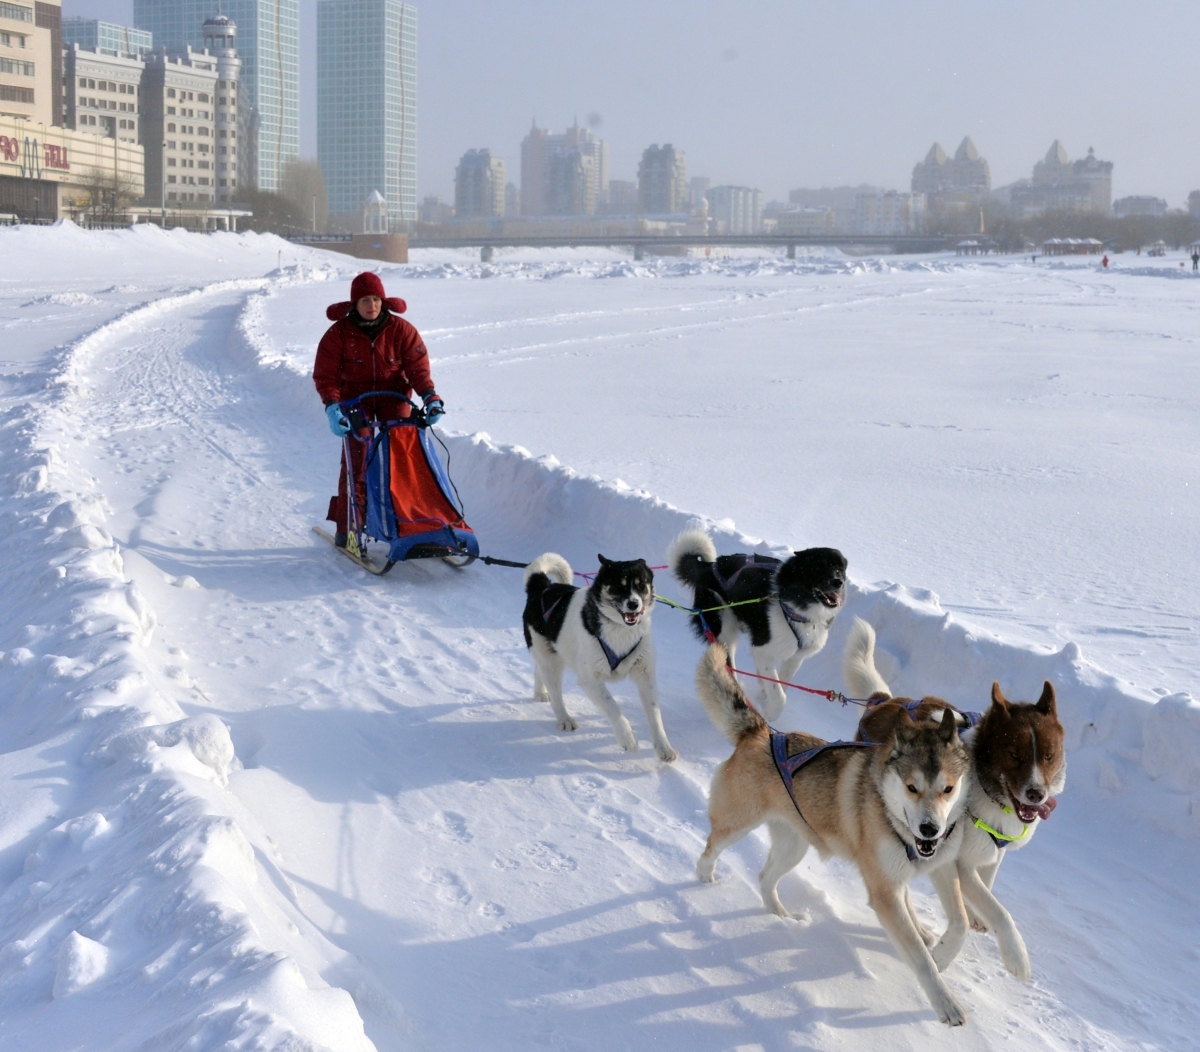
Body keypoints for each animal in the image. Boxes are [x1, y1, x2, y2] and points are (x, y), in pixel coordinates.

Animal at [523, 554, 681, 758]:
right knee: (555, 692)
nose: (633, 604)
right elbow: (613, 707)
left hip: (553, 654)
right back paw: (564, 718)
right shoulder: (590, 680)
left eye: (641, 585)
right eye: (619, 585)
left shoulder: (645, 675)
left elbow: (655, 715)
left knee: (539, 670)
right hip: (551, 663)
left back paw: (540, 693)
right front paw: (628, 739)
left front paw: (664, 747)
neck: (620, 629)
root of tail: (542, 585)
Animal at [672, 530, 849, 719]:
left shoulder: (796, 656)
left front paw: (765, 695)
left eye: (840, 569)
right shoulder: (761, 649)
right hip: (723, 628)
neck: (796, 608)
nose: (838, 582)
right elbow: (779, 696)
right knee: (728, 664)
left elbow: (781, 681)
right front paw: (770, 714)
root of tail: (709, 566)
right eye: (819, 567)